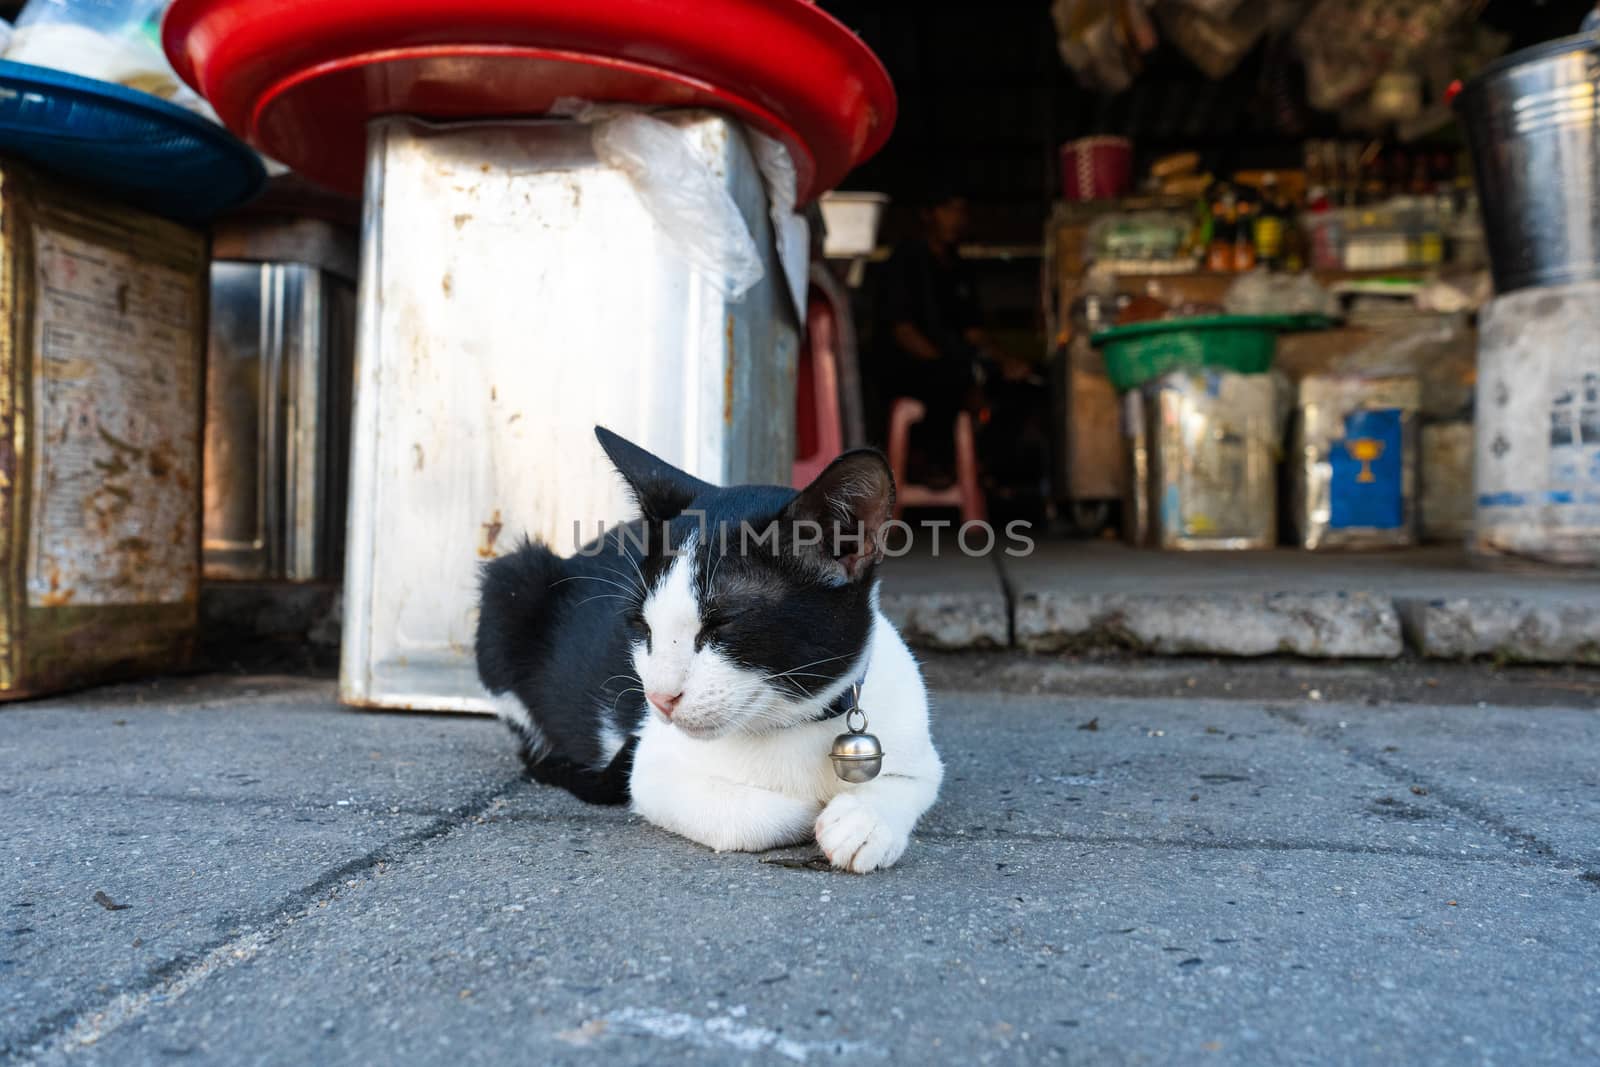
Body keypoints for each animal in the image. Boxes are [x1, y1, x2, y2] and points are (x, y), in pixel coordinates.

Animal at [480, 428, 940, 870]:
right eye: (641, 625)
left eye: (724, 623)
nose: (659, 698)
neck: (796, 723)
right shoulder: (649, 769)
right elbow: (759, 816)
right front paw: (814, 809)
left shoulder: (916, 744)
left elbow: (913, 780)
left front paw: (865, 823)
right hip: (513, 582)